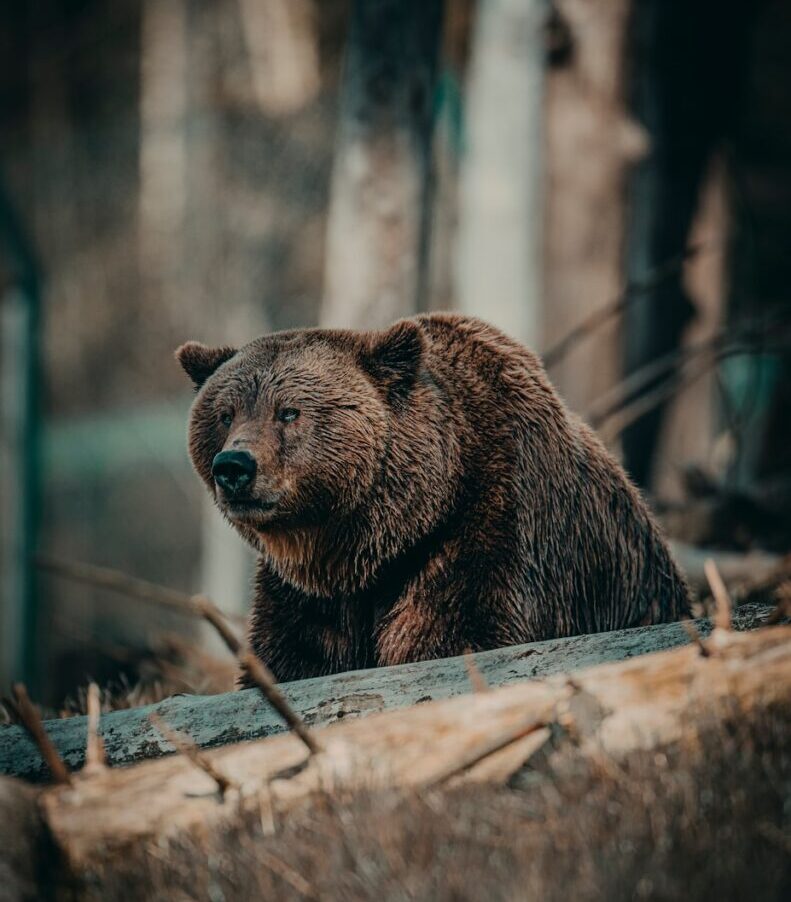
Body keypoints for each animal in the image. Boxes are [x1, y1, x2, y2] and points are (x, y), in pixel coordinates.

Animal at [177, 313, 690, 682]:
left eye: (289, 412)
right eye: (225, 413)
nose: (234, 467)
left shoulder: (491, 527)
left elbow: (457, 633)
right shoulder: (308, 596)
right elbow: (291, 657)